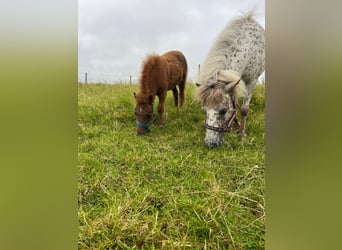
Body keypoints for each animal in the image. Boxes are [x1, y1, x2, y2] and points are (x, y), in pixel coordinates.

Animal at [195, 12, 264, 147]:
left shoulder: (252, 81)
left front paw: (242, 135)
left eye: (223, 110)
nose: (210, 143)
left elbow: (244, 109)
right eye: (204, 111)